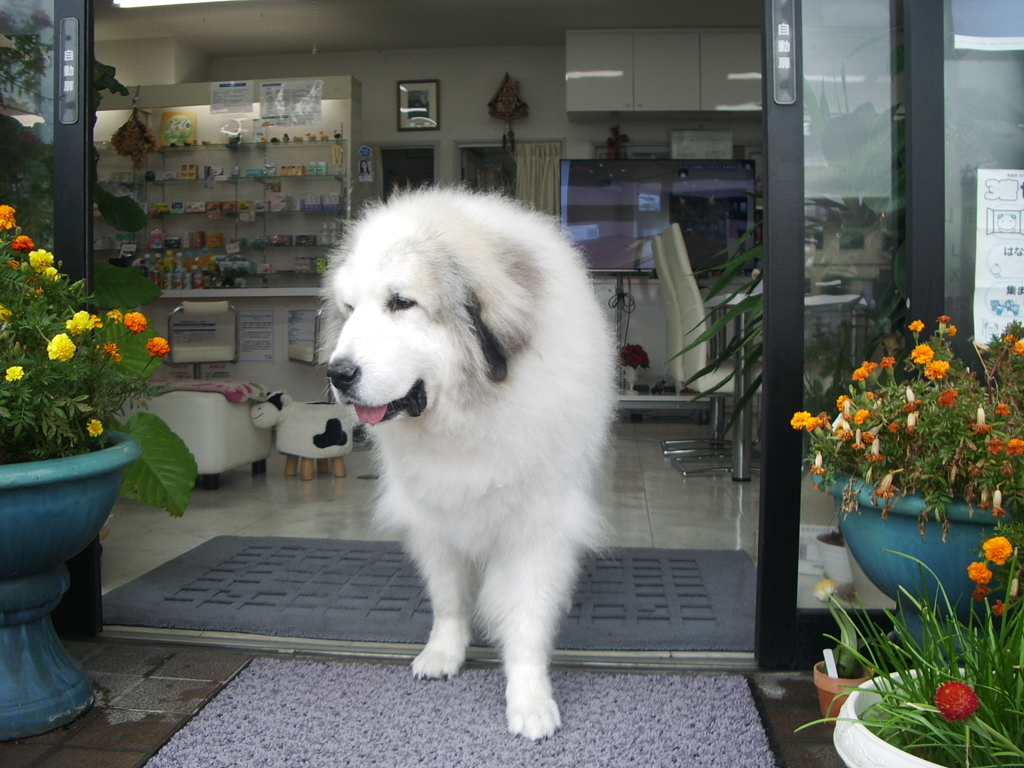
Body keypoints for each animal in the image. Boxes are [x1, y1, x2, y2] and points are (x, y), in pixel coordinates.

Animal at [323, 186, 614, 741]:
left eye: (401, 303)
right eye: (349, 309)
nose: (338, 373)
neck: (470, 418)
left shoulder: (535, 527)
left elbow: (526, 618)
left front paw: (530, 700)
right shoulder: (432, 518)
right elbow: (449, 598)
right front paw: (444, 653)